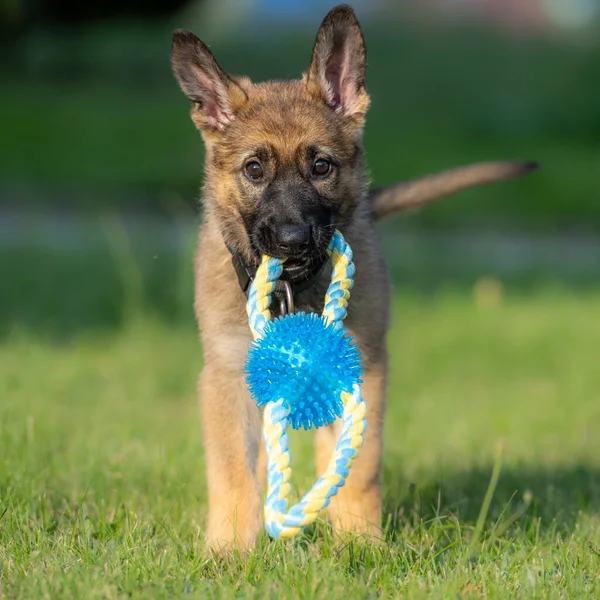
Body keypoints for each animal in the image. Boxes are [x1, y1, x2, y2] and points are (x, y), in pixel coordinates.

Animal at [170, 3, 540, 552]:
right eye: (254, 170)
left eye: (321, 166)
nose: (293, 240)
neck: (295, 290)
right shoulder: (227, 374)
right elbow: (234, 472)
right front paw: (230, 550)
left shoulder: (362, 367)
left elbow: (359, 466)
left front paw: (360, 545)